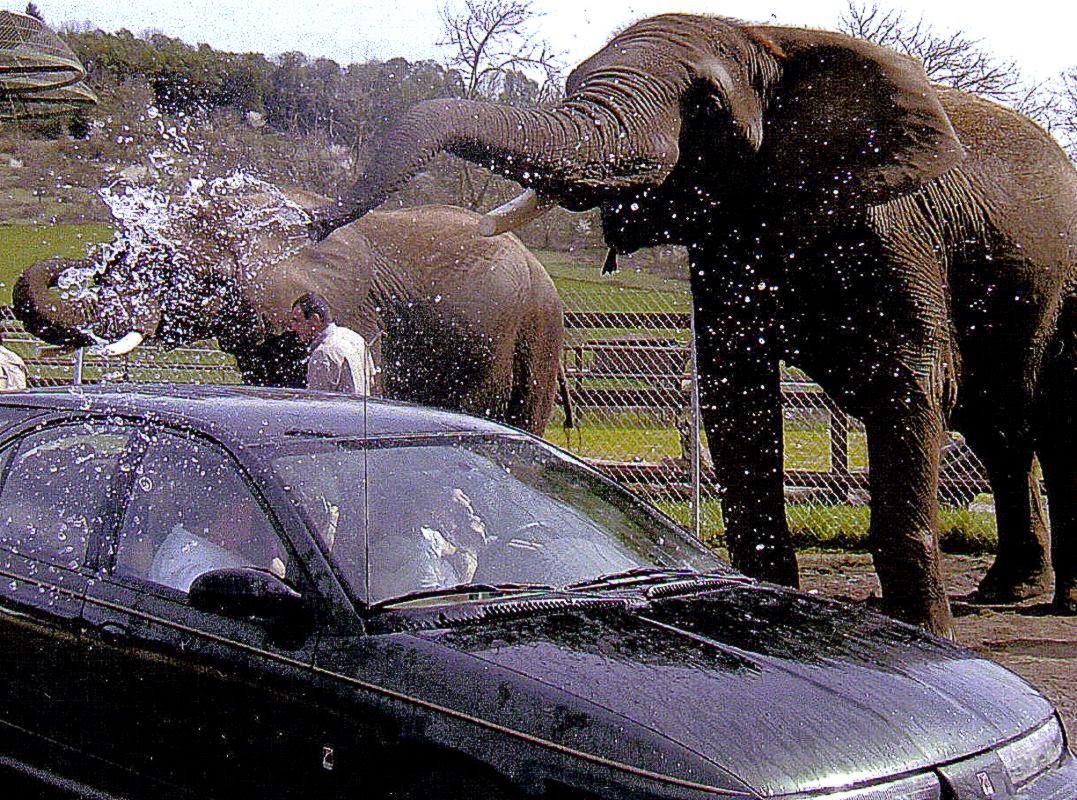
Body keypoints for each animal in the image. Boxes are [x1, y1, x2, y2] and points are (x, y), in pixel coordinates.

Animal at [310, 12, 1077, 637]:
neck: (772, 39)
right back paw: (1007, 594)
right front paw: (767, 606)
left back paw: (1050, 604)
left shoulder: (897, 231)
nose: (312, 222)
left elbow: (909, 384)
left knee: (1046, 419)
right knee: (1001, 432)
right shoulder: (724, 243)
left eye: (704, 106)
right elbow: (738, 395)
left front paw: (921, 632)